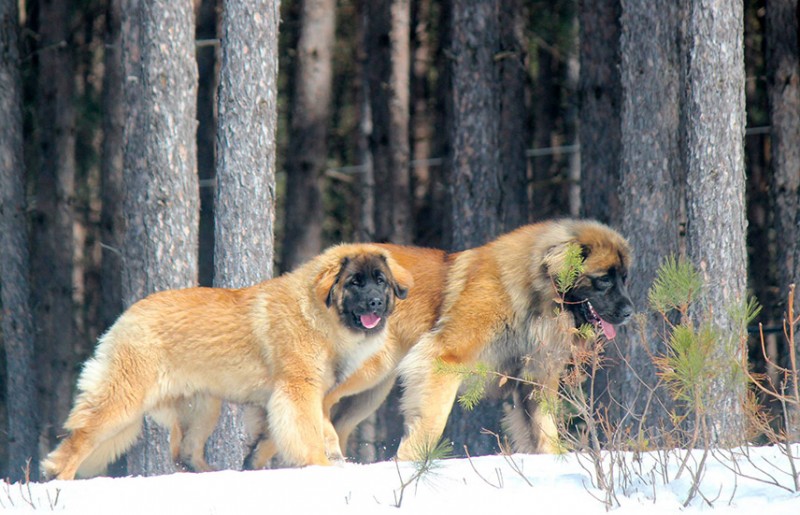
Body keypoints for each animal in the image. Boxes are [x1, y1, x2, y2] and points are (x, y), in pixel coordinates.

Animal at [40, 244, 412, 482]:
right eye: (354, 282)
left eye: (380, 280)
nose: (375, 303)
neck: (318, 312)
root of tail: (128, 314)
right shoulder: (297, 390)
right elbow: (307, 433)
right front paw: (319, 465)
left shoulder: (302, 395)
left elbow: (311, 432)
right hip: (125, 396)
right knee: (83, 434)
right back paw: (59, 475)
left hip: (203, 406)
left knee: (185, 453)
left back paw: (214, 474)